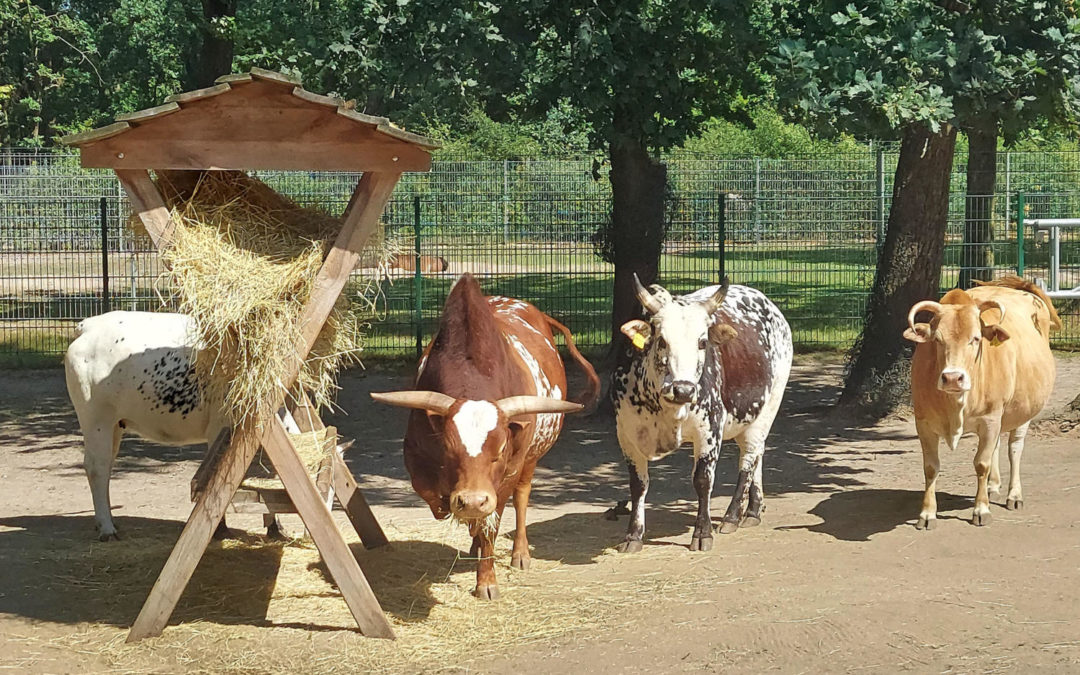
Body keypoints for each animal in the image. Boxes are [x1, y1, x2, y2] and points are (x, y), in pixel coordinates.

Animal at [373, 271, 600, 596]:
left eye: (500, 451)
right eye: (448, 449)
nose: (470, 501)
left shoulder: (506, 475)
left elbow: (492, 522)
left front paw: (487, 580)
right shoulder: (415, 456)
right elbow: (431, 495)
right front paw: (455, 515)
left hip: (531, 456)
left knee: (521, 497)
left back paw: (519, 552)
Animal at [617, 275, 794, 552]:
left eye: (702, 343)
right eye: (661, 340)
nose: (683, 389)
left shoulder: (710, 428)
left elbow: (702, 480)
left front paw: (702, 533)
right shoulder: (625, 433)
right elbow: (638, 484)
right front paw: (633, 535)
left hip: (770, 404)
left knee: (749, 459)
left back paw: (733, 516)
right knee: (757, 455)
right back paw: (753, 510)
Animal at [902, 274, 1062, 527]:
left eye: (975, 338)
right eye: (937, 339)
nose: (952, 377)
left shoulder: (990, 419)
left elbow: (981, 463)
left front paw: (981, 509)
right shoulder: (924, 423)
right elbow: (930, 467)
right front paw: (927, 514)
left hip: (1024, 411)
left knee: (1014, 448)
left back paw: (1013, 495)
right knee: (996, 446)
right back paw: (992, 486)